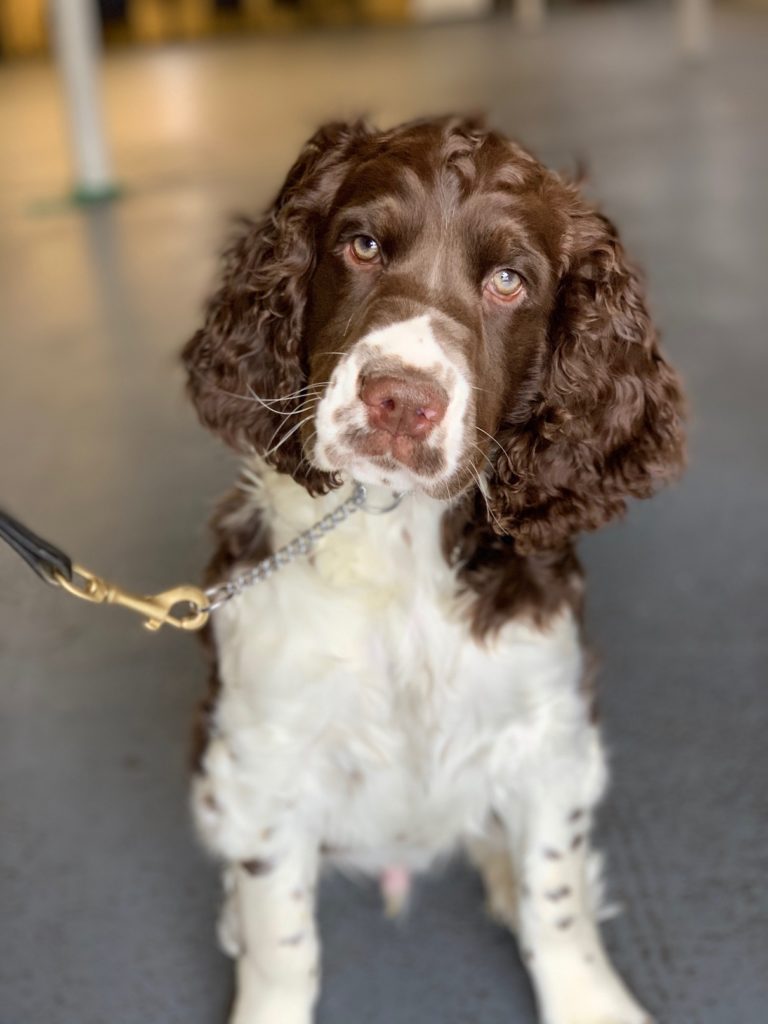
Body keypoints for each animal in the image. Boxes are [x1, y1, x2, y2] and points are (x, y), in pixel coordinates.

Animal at [183, 114, 688, 1024]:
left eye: (509, 282)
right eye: (363, 244)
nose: (400, 402)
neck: (400, 539)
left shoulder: (547, 728)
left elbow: (556, 897)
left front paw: (588, 998)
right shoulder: (264, 753)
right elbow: (281, 933)